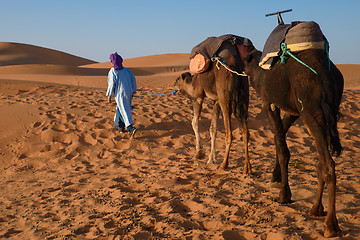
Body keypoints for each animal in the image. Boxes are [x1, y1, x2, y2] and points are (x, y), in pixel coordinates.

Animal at [176, 40, 252, 173]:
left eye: (178, 80)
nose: (175, 86)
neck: (193, 83)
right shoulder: (216, 101)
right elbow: (213, 128)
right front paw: (211, 158)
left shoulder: (198, 97)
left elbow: (194, 122)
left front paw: (199, 153)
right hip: (244, 96)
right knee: (245, 132)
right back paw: (247, 168)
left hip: (225, 98)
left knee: (229, 134)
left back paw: (224, 164)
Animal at [245, 48, 344, 238]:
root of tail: (325, 74)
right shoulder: (293, 111)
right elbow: (279, 138)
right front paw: (276, 179)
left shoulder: (269, 103)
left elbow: (283, 148)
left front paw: (284, 194)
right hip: (323, 114)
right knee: (321, 163)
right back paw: (316, 209)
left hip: (311, 110)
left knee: (328, 164)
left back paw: (331, 225)